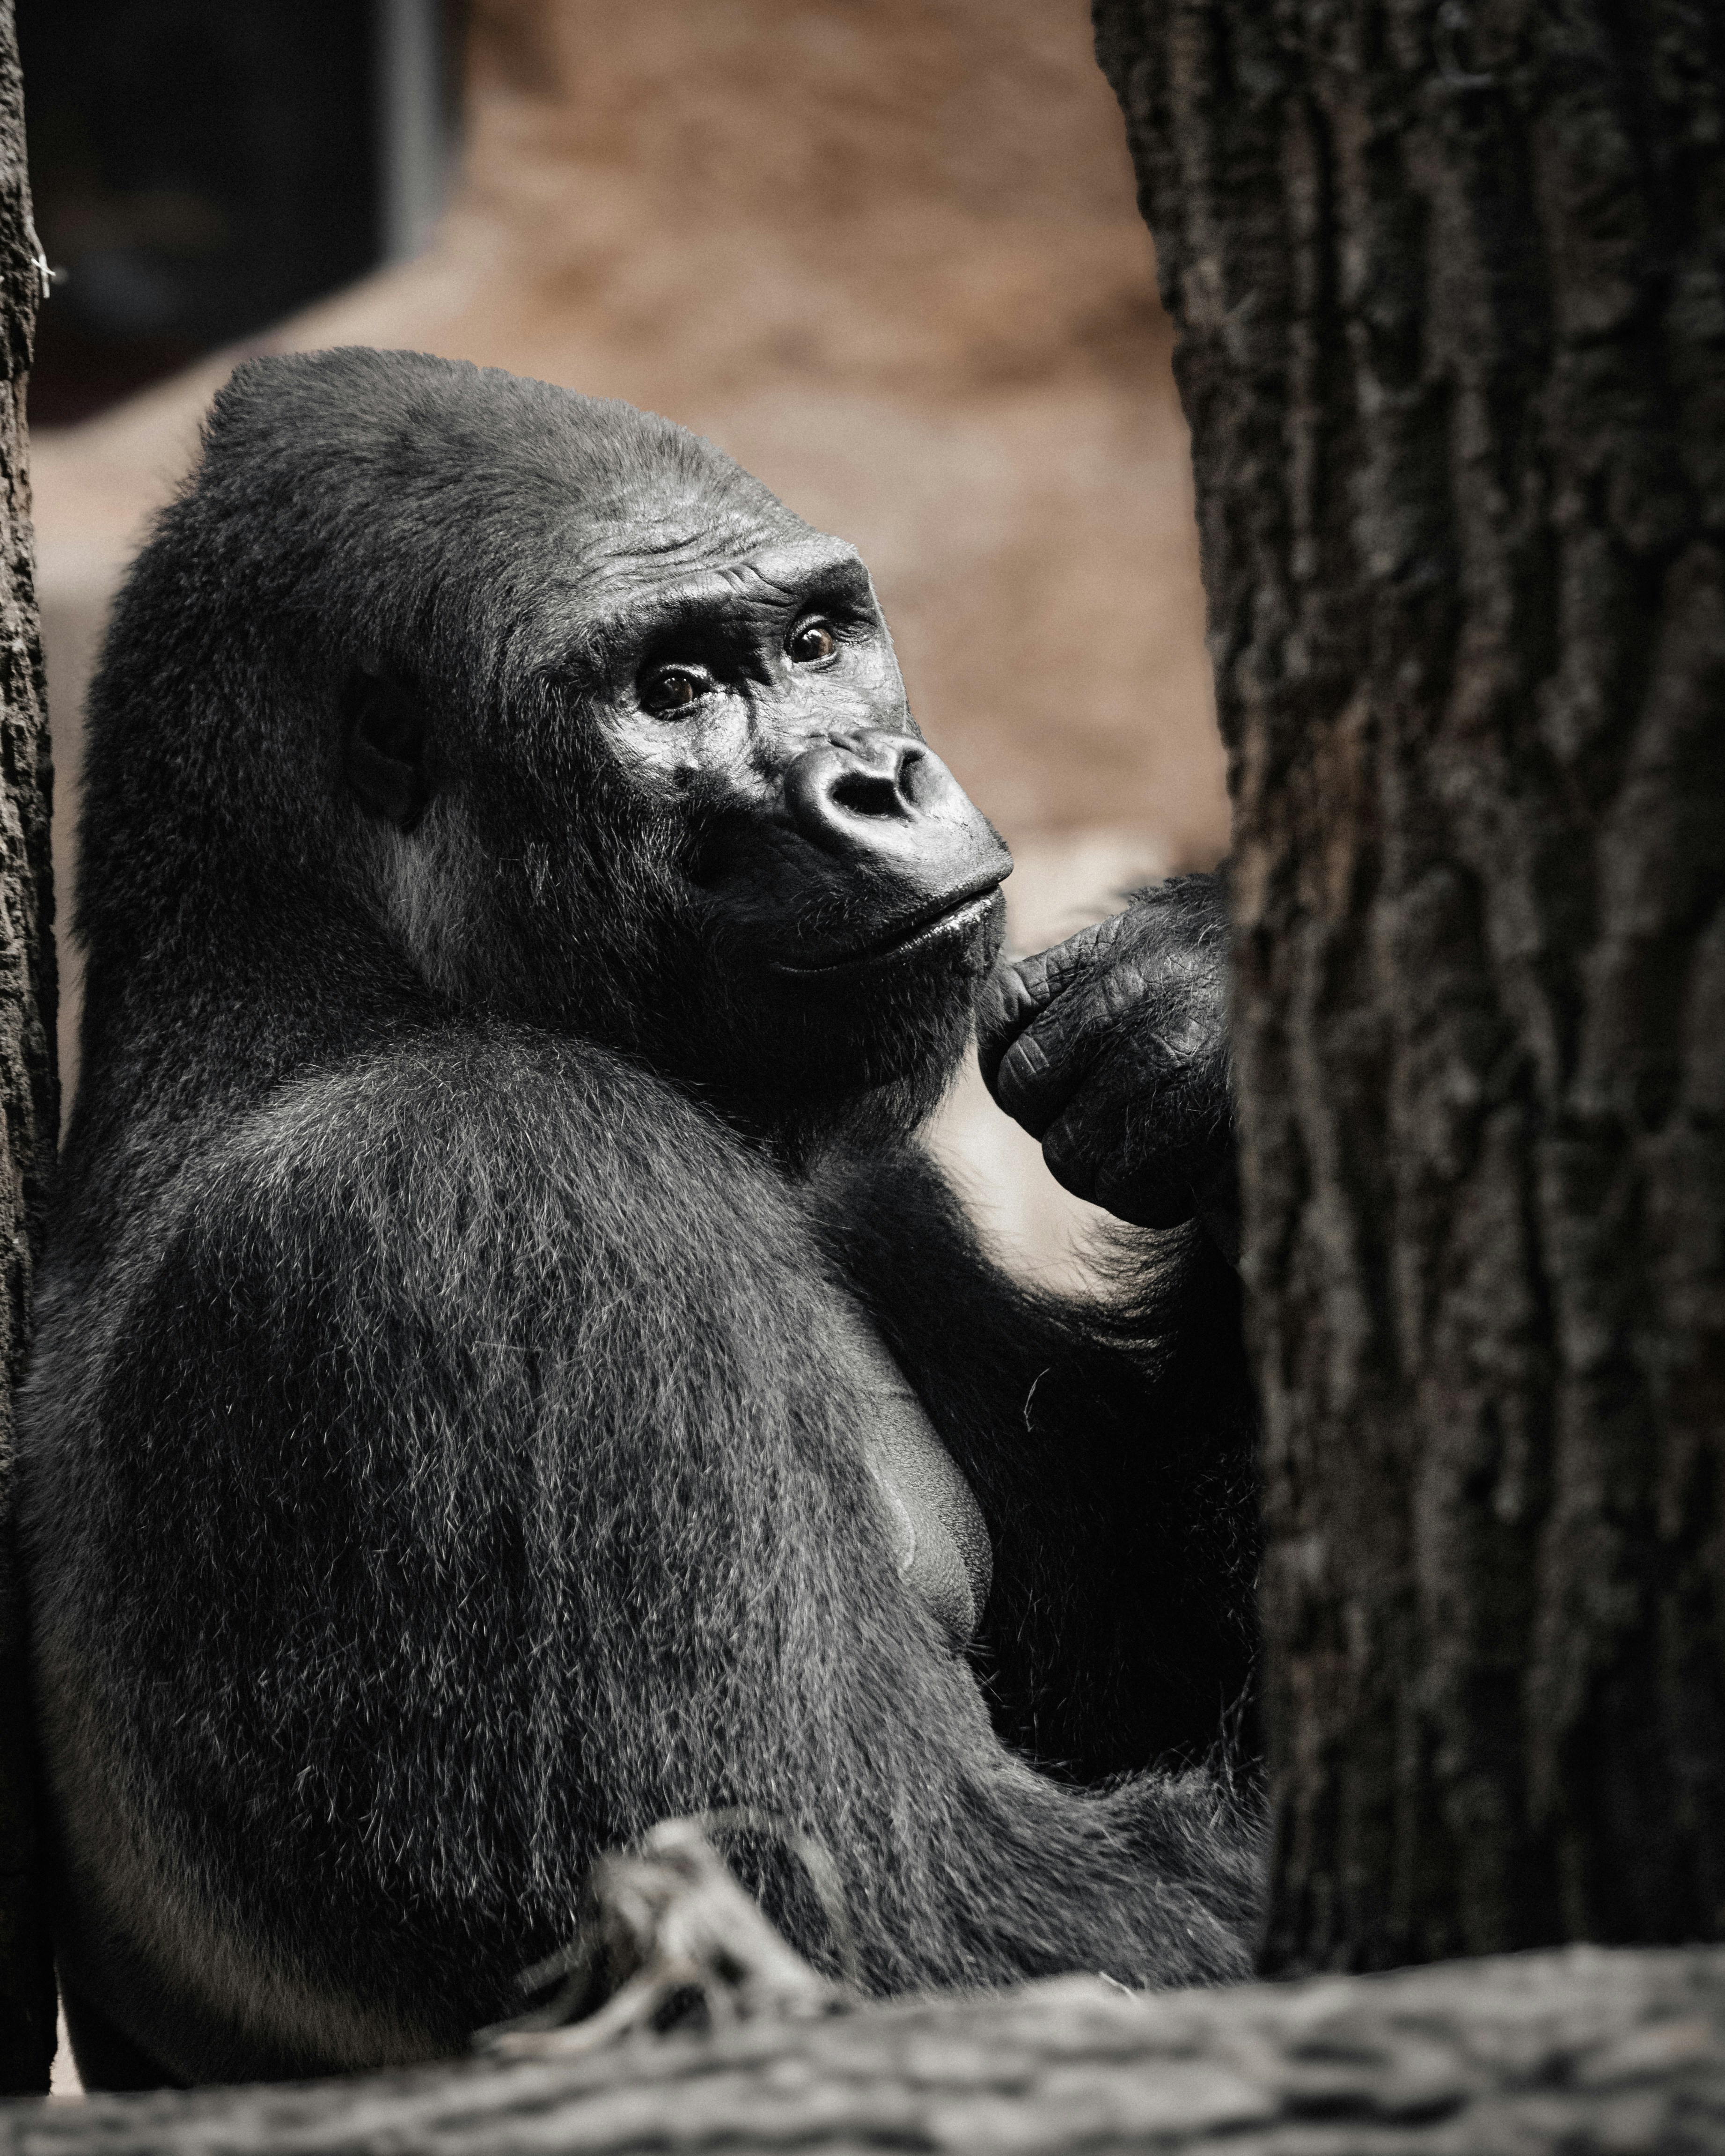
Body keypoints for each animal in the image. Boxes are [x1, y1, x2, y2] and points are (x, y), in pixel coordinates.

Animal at [18, 347, 1259, 2091]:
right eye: (669, 689)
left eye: (814, 641)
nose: (880, 780)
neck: (343, 975)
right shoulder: (485, 1193)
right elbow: (908, 1924)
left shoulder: (855, 1175)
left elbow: (1160, 1645)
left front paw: (1202, 1019)